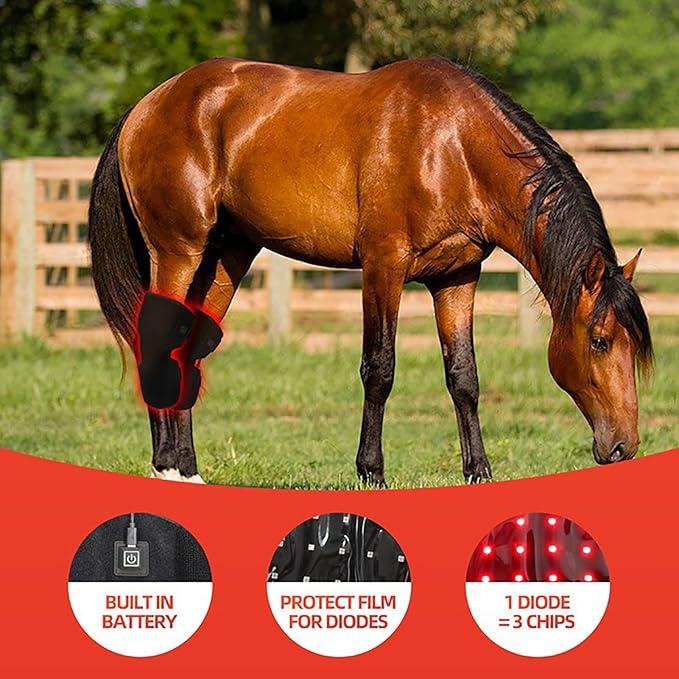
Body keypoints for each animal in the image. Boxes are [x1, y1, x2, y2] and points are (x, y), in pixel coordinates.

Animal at [88, 57, 652, 486]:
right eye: (600, 340)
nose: (623, 446)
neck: (452, 145)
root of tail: (145, 106)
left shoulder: (457, 278)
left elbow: (463, 376)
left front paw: (478, 471)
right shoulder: (383, 267)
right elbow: (379, 369)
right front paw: (371, 471)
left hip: (227, 255)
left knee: (188, 348)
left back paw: (188, 470)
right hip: (179, 252)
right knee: (158, 340)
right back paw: (165, 466)